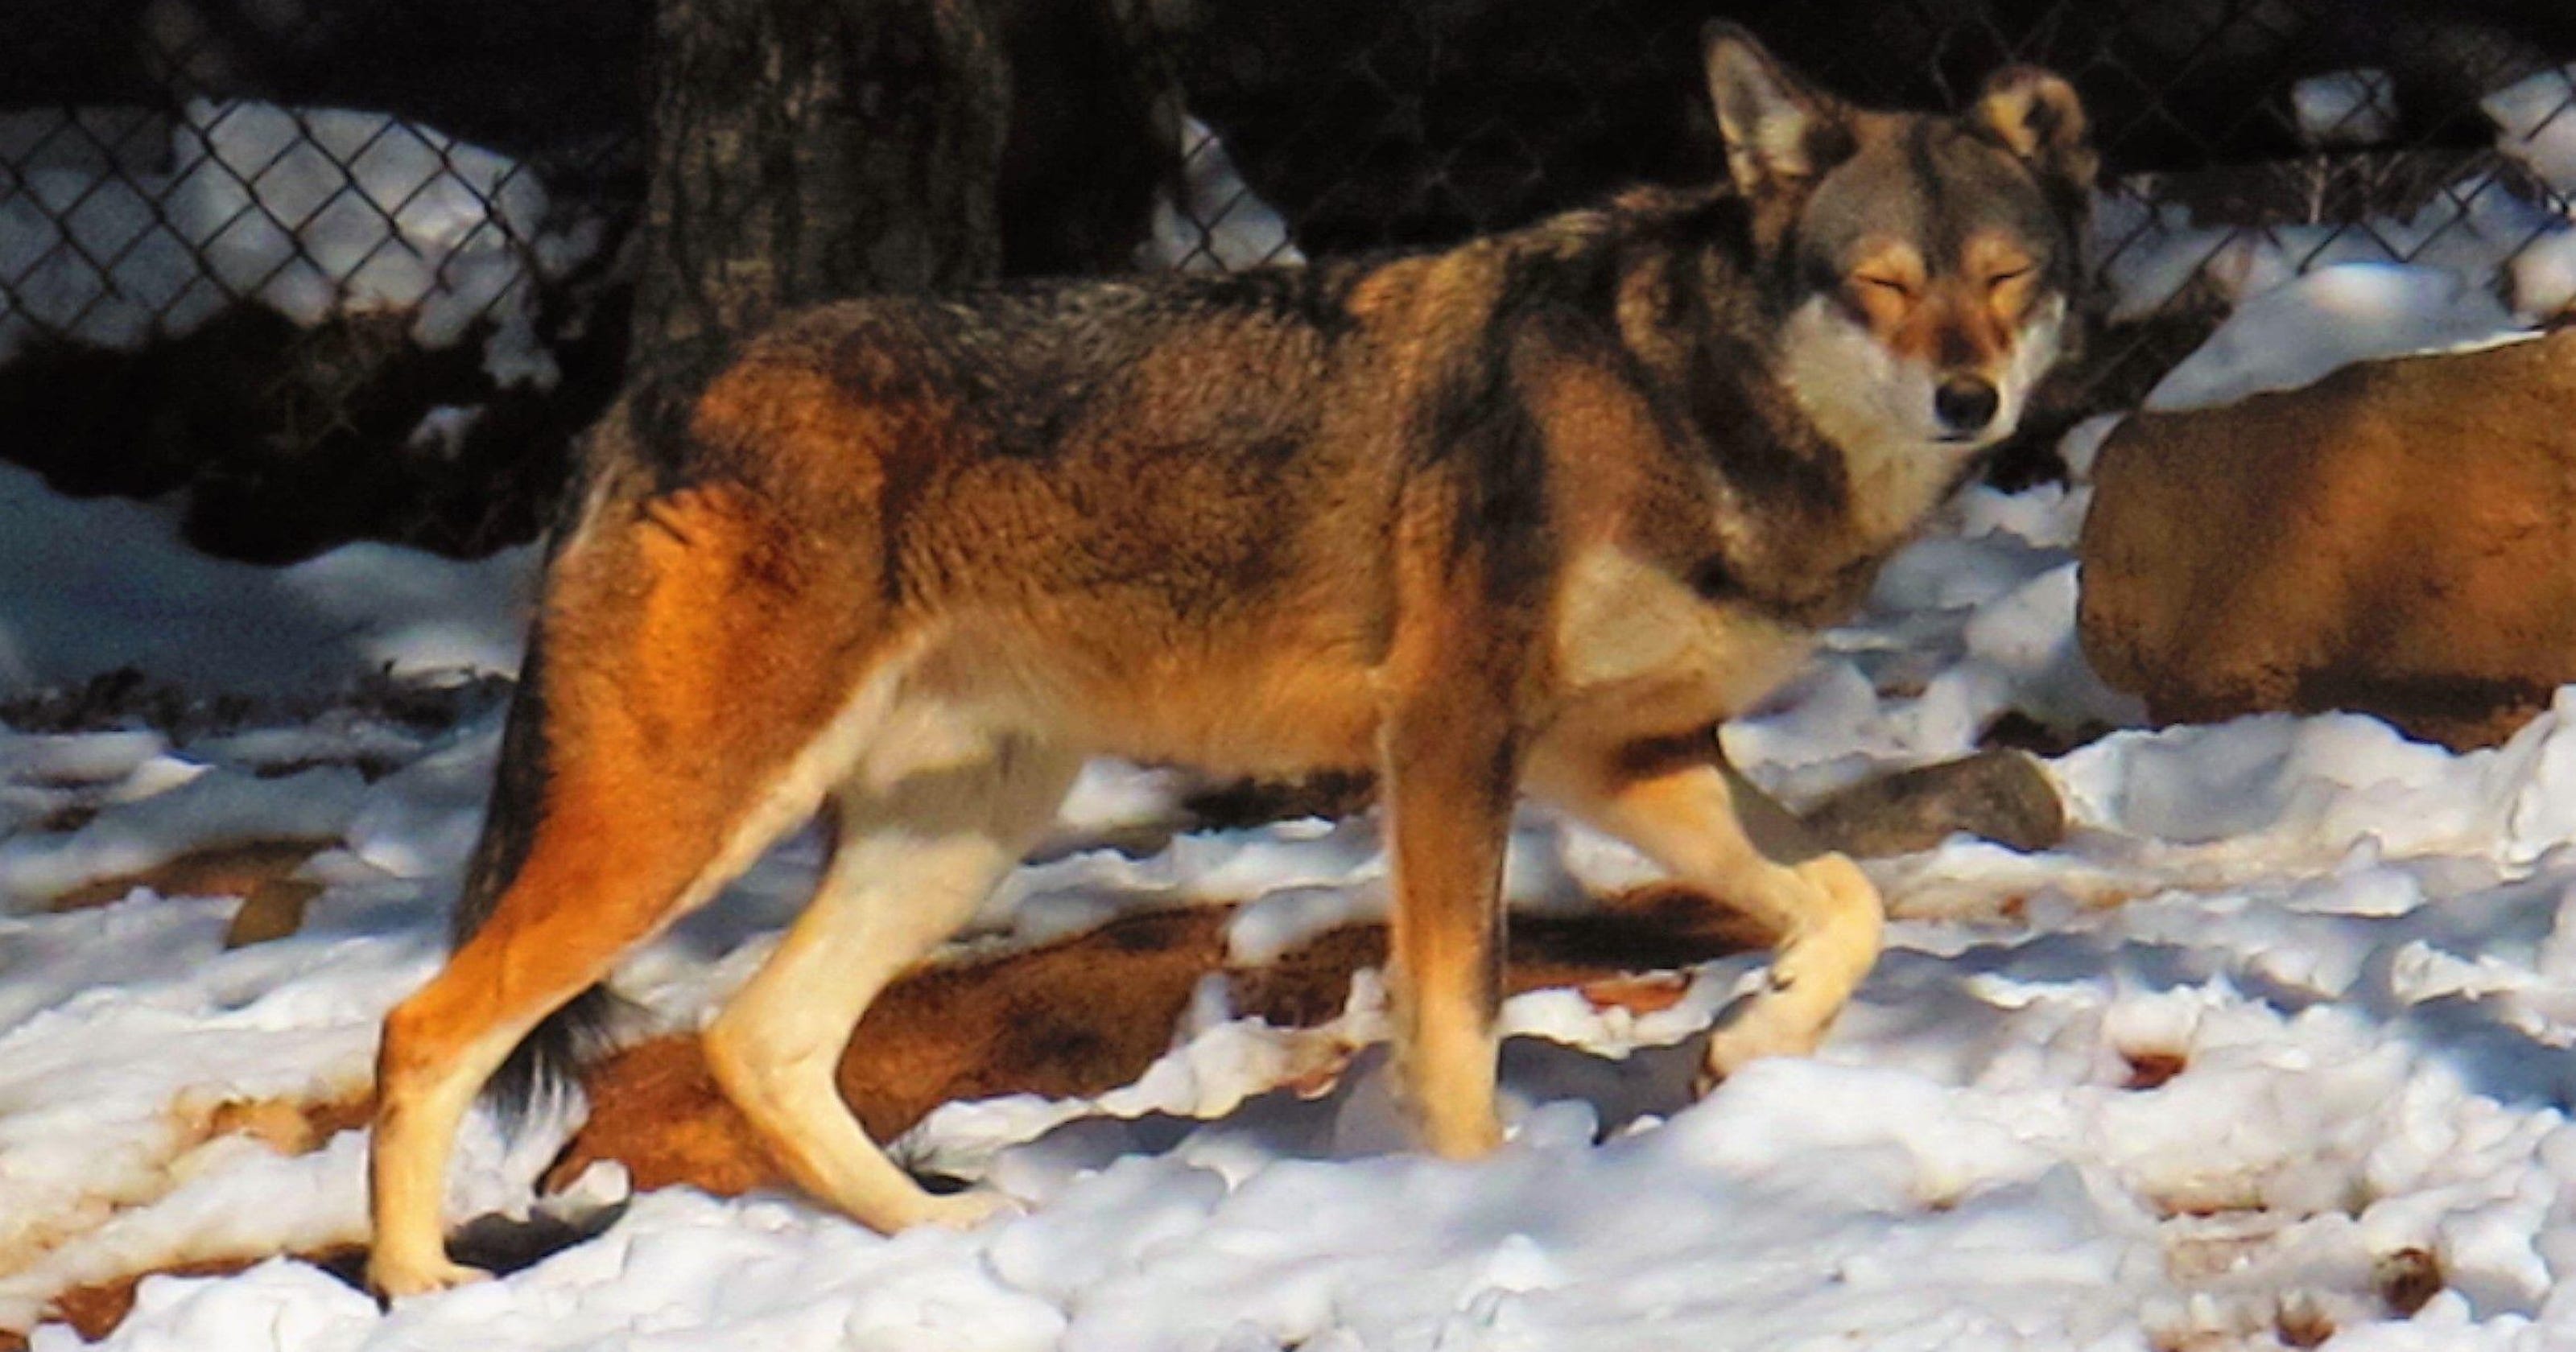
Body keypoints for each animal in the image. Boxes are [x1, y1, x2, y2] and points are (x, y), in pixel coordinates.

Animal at [365, 22, 2094, 1296]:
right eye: (1883, 285)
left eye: (2005, 282)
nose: (1970, 401)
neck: (1694, 401)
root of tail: (642, 401)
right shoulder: (1454, 735)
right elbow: (1460, 1023)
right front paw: (1474, 1216)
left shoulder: (1621, 756)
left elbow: (1852, 902)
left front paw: (1750, 1036)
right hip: (679, 826)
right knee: (426, 1031)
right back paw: (424, 1290)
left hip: (952, 834)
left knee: (756, 1041)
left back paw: (945, 1236)